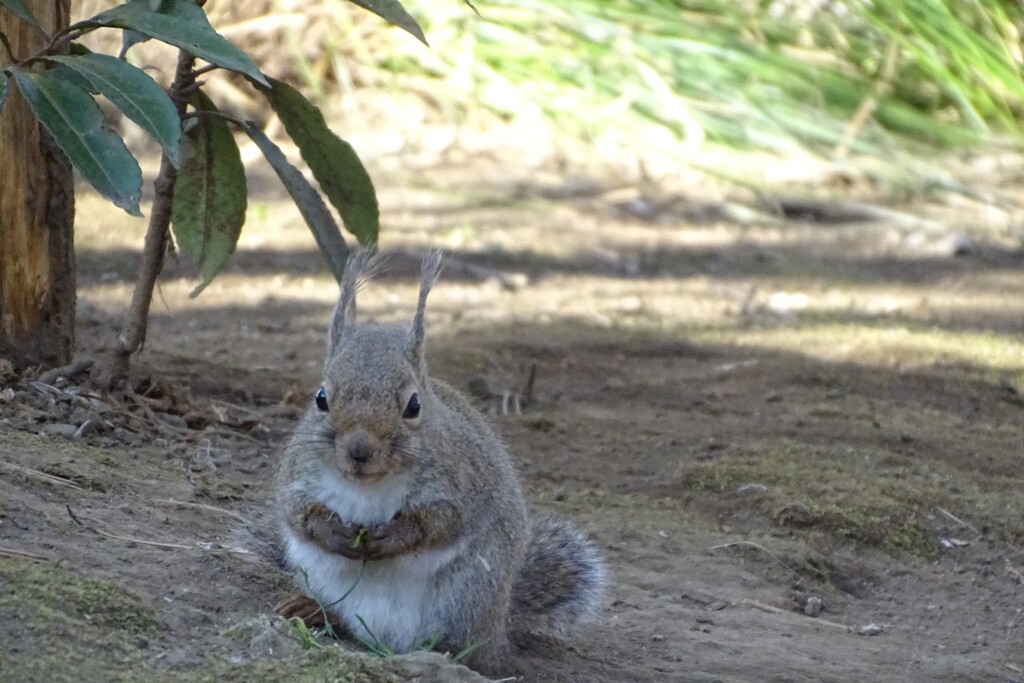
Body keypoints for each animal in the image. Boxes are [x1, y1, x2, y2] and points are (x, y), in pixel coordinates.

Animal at [272, 249, 606, 671]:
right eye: (320, 398)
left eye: (414, 405)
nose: (359, 451)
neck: (370, 484)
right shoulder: (299, 475)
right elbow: (297, 511)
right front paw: (335, 532)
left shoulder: (462, 484)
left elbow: (442, 522)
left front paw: (394, 536)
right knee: (347, 621)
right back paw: (315, 611)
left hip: (467, 596)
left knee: (465, 648)